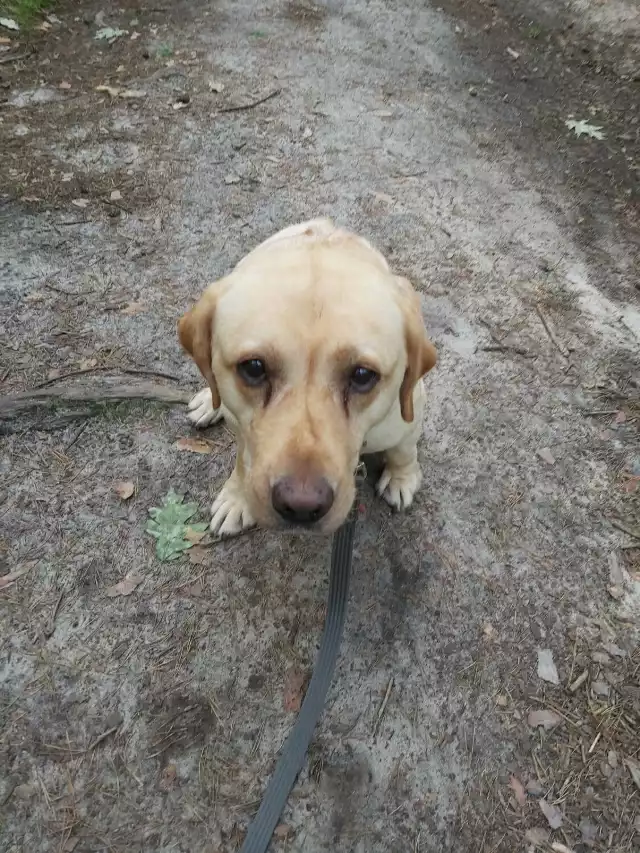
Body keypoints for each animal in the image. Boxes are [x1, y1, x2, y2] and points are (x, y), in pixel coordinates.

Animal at [176, 223, 436, 536]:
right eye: (254, 367)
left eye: (363, 375)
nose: (301, 506)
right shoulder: (241, 426)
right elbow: (243, 460)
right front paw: (238, 497)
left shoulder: (409, 417)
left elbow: (403, 452)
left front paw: (402, 477)